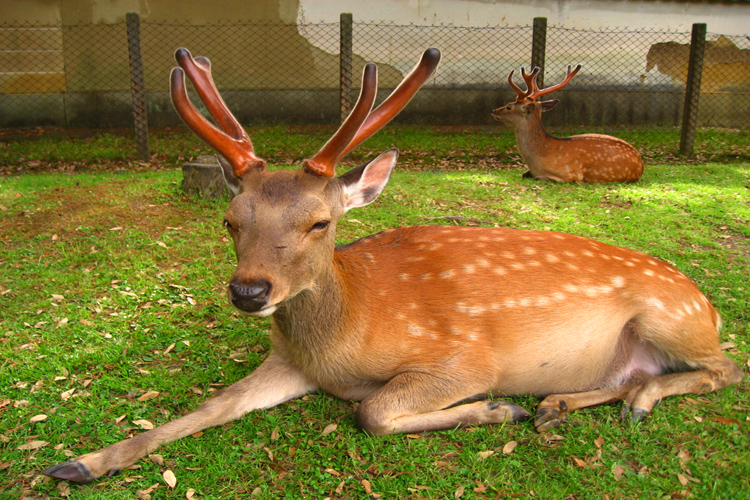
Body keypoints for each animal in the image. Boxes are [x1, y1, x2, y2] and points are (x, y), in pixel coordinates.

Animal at [494, 65, 648, 184]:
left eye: (509, 107)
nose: (494, 111)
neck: (538, 158)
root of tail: (641, 163)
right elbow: (524, 174)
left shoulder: (570, 174)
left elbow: (539, 178)